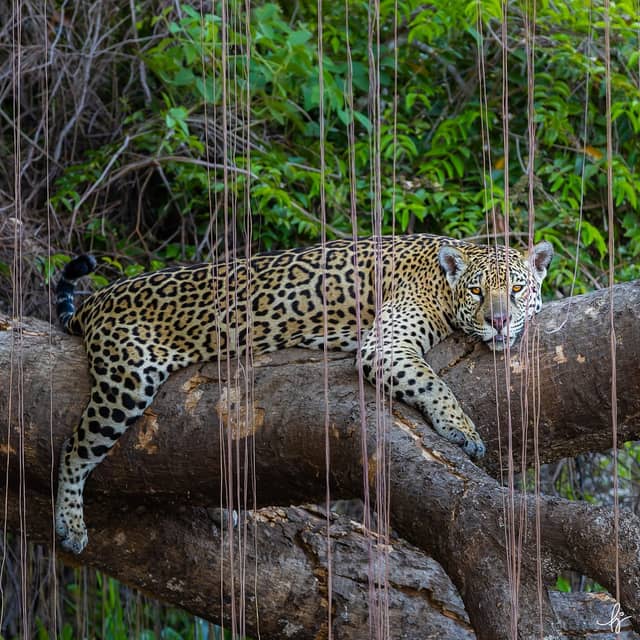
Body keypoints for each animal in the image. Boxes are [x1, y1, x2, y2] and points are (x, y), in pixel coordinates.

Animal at [54, 233, 553, 554]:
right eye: (477, 291)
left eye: (517, 288)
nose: (499, 321)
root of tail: (96, 300)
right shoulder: (385, 343)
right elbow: (433, 381)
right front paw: (462, 429)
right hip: (127, 378)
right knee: (72, 450)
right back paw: (70, 524)